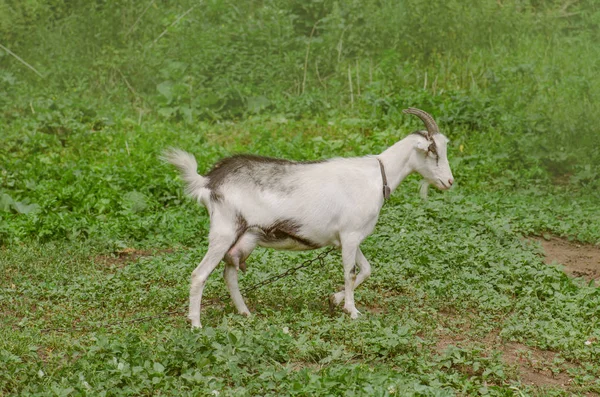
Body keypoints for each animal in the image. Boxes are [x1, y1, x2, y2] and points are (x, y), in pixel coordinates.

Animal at [164, 106, 454, 326]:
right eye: (433, 151)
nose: (449, 181)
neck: (376, 176)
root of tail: (209, 181)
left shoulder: (348, 238)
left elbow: (366, 269)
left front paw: (334, 299)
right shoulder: (350, 236)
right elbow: (350, 273)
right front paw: (352, 311)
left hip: (244, 236)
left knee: (229, 272)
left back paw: (245, 313)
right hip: (224, 231)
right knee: (199, 275)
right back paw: (196, 324)